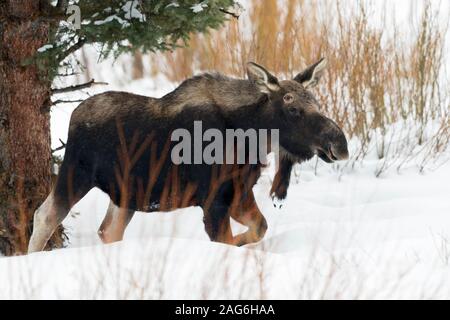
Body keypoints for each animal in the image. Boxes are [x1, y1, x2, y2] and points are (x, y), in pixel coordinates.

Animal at [28, 57, 350, 252]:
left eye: (316, 102)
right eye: (293, 108)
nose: (340, 144)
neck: (252, 132)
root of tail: (75, 116)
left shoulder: (238, 193)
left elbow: (259, 228)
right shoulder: (214, 199)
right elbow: (227, 240)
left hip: (125, 195)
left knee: (108, 231)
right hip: (75, 174)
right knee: (44, 216)